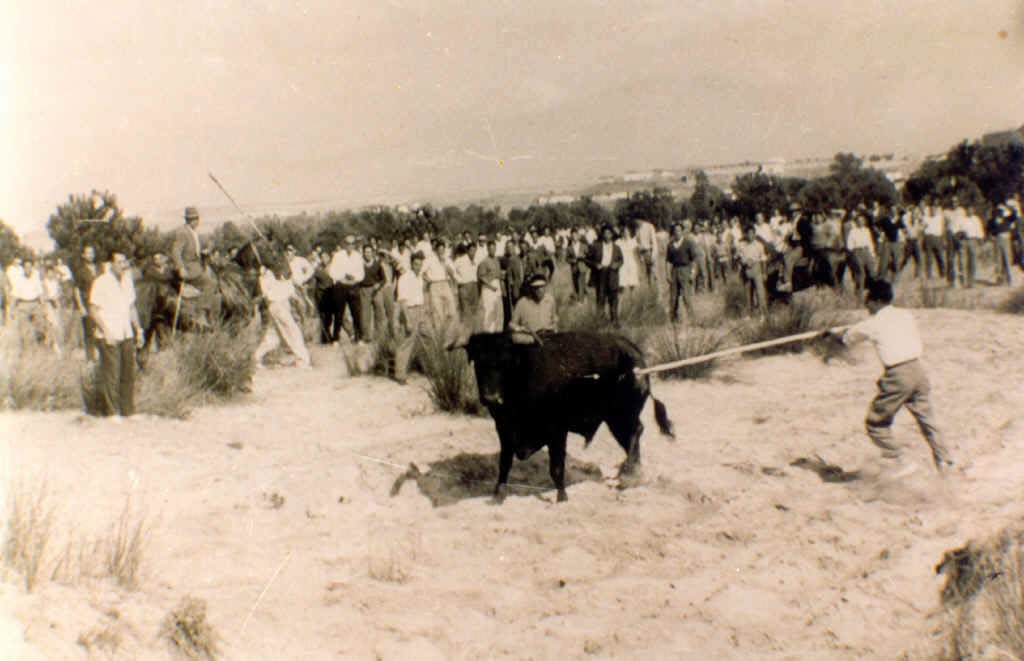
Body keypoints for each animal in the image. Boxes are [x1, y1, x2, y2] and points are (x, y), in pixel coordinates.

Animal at [450, 333, 675, 505]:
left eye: (506, 363)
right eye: (478, 362)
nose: (491, 398)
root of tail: (632, 349)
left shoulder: (557, 431)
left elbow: (556, 467)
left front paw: (562, 496)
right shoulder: (504, 430)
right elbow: (505, 464)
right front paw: (499, 494)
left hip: (623, 414)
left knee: (635, 433)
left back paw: (628, 473)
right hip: (615, 419)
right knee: (631, 438)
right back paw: (631, 474)